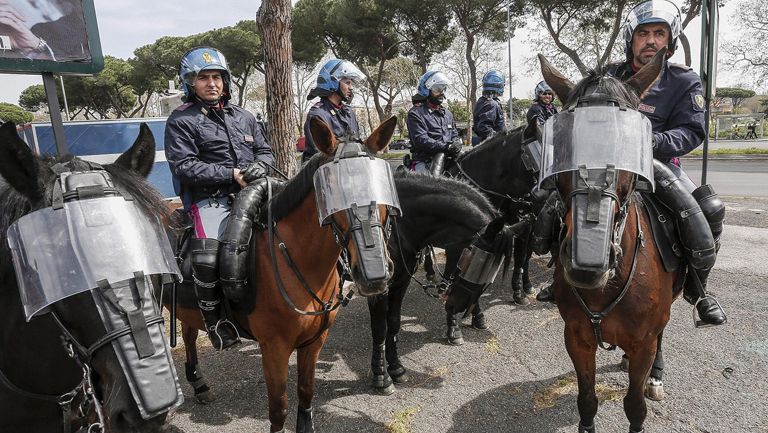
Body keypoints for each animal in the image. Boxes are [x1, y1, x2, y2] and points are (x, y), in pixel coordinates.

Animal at [166, 115, 400, 432]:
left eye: (381, 188)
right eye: (334, 192)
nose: (374, 275)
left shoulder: (314, 342)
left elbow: (306, 392)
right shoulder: (274, 350)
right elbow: (279, 409)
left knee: (189, 334)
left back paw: (199, 385)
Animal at [368, 170, 520, 394]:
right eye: (476, 263)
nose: (459, 306)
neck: (398, 226)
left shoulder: (401, 282)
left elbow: (394, 323)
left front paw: (395, 368)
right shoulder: (378, 289)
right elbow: (380, 328)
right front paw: (381, 376)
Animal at [540, 51, 684, 432]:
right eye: (564, 145)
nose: (586, 266)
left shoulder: (644, 341)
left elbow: (634, 406)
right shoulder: (577, 337)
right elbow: (586, 399)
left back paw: (655, 376)